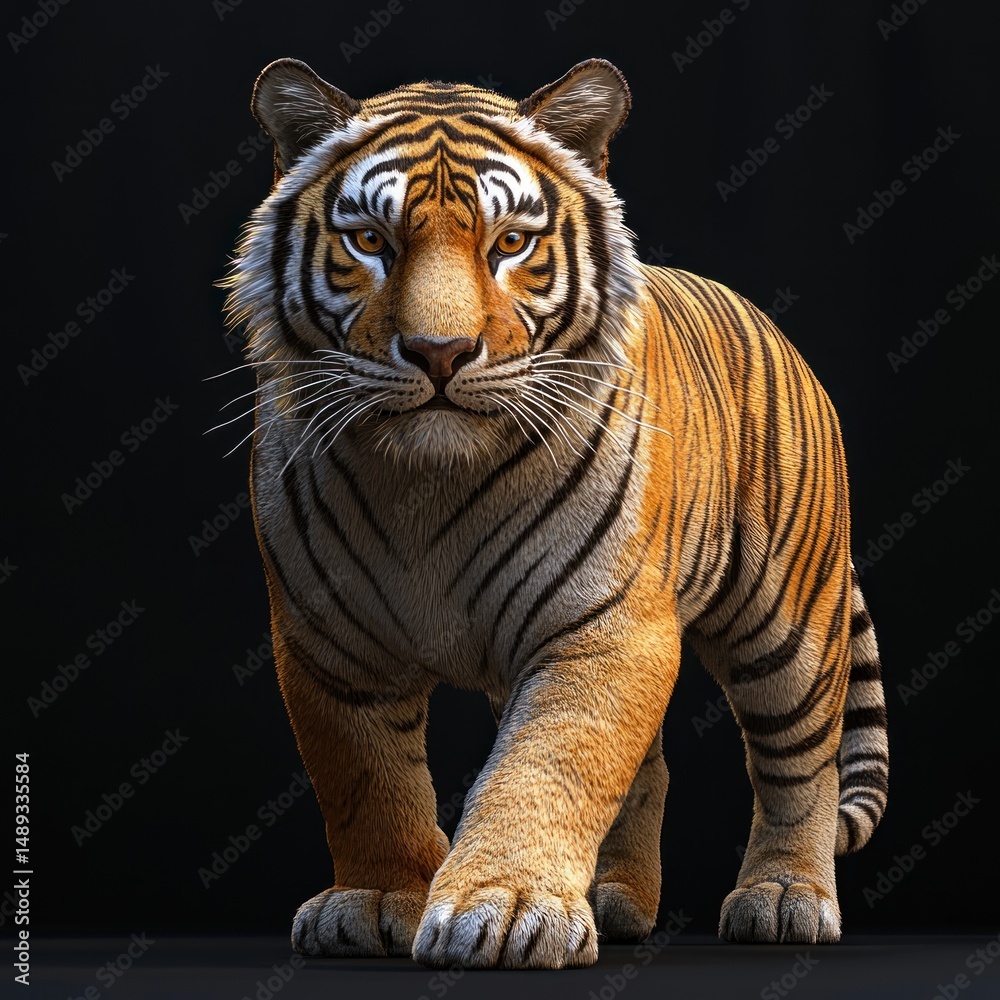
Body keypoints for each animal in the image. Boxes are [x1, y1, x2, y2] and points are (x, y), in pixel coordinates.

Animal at [221, 56, 889, 969]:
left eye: (510, 244)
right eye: (371, 242)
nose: (439, 353)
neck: (428, 482)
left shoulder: (600, 624)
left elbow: (547, 768)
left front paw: (506, 907)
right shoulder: (328, 643)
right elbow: (366, 779)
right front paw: (377, 897)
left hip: (788, 621)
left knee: (800, 765)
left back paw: (785, 897)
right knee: (651, 770)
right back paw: (615, 899)